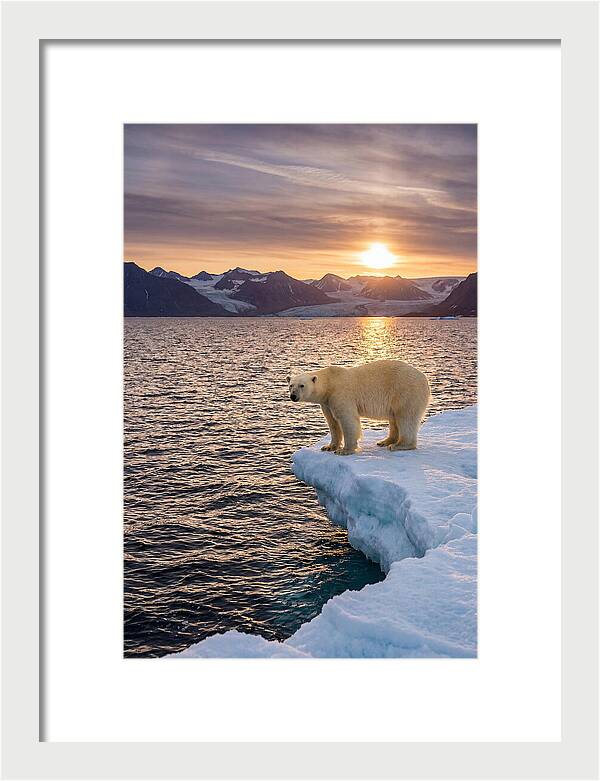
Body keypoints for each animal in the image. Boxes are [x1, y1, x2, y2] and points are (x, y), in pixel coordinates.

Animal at [287, 359, 430, 456]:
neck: (330, 383)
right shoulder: (327, 402)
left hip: (406, 391)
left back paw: (398, 445)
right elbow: (332, 423)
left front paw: (344, 450)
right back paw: (385, 441)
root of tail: (425, 378)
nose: (293, 396)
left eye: (302, 385)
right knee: (394, 418)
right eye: (291, 385)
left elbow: (347, 420)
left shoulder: (341, 394)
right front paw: (328, 447)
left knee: (406, 417)